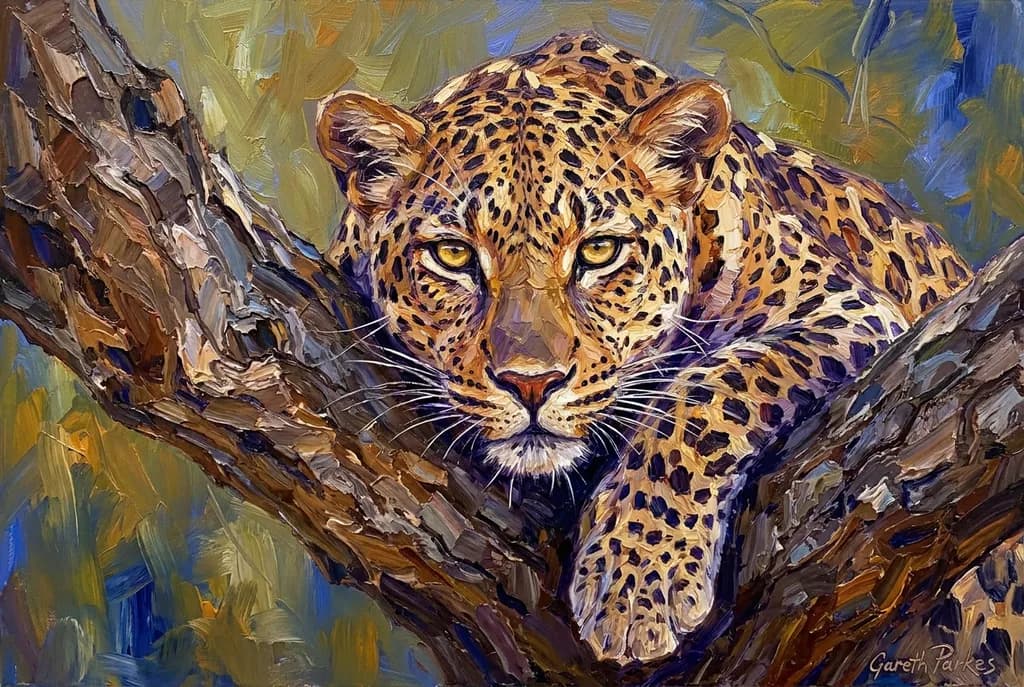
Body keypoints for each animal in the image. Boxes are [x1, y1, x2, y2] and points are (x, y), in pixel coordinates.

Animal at [315, 32, 972, 665]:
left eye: (600, 251)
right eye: (452, 255)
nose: (531, 383)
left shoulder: (844, 308)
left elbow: (707, 391)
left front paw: (633, 588)